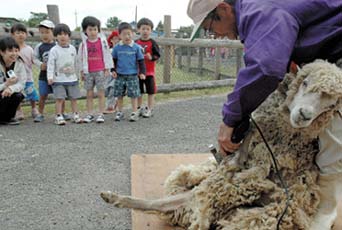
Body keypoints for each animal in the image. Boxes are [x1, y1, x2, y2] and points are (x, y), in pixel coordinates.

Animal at [101, 60, 342, 229]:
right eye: (304, 82)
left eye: (332, 105)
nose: (305, 115)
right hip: (217, 184)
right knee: (165, 202)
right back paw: (113, 197)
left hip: (227, 188)